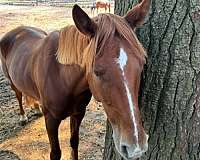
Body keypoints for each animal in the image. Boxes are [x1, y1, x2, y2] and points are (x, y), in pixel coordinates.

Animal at [0, 0, 150, 159]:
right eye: (96, 71)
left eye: (142, 64)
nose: (136, 147)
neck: (62, 78)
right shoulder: (51, 120)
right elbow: (55, 153)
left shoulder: (78, 113)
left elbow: (74, 142)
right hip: (12, 81)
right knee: (18, 94)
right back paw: (23, 116)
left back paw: (35, 107)